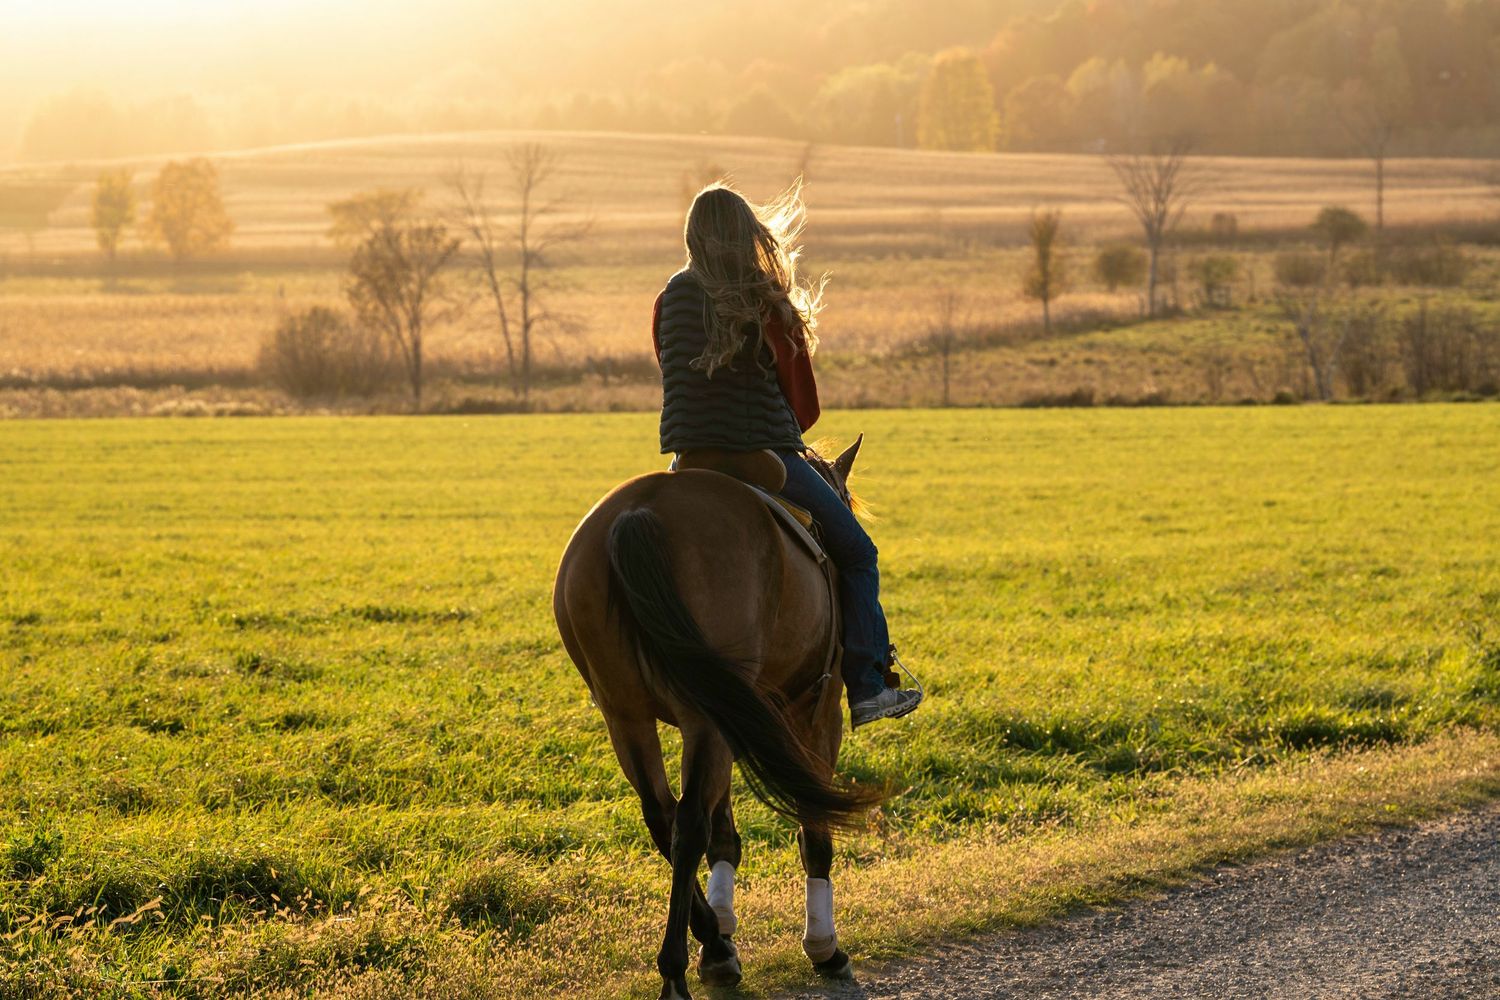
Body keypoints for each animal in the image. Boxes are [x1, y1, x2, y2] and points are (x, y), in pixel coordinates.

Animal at [552, 438, 885, 1000]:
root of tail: (640, 511)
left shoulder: (727, 715)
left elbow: (724, 831)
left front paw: (723, 933)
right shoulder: (818, 709)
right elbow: (814, 830)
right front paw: (824, 949)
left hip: (629, 715)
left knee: (664, 817)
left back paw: (712, 944)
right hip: (707, 717)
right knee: (688, 825)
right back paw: (676, 971)